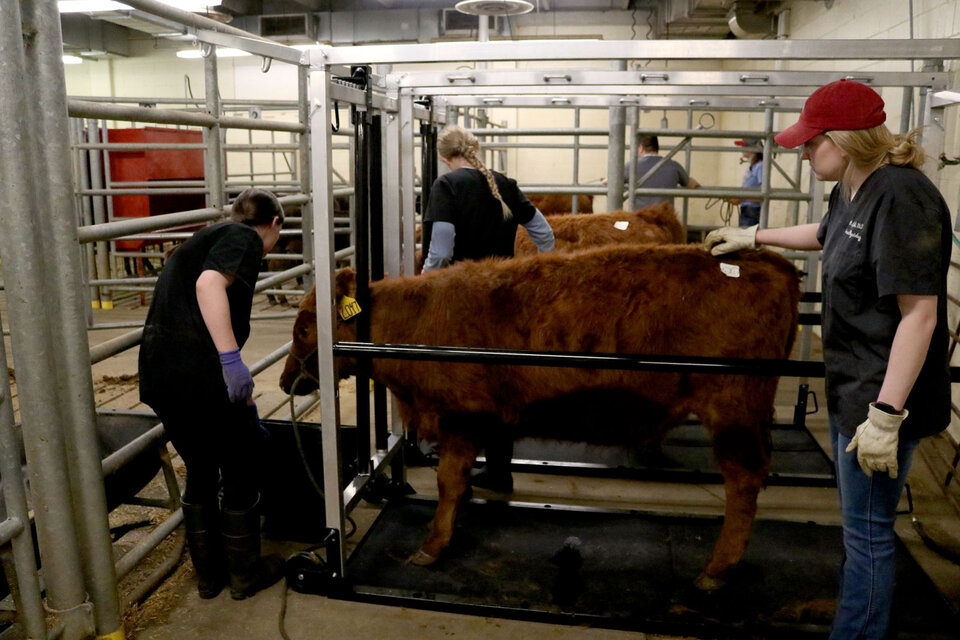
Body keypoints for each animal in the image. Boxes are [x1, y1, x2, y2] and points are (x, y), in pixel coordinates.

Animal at [280, 245, 804, 592]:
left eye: (305, 328)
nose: (286, 382)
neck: (416, 320)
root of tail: (765, 259)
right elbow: (464, 478)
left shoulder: (459, 420)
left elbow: (448, 481)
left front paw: (433, 544)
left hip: (733, 414)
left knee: (743, 483)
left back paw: (716, 569)